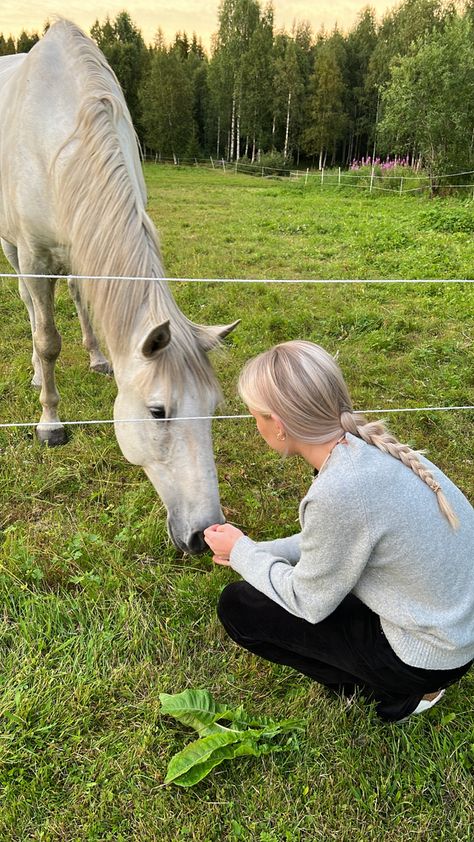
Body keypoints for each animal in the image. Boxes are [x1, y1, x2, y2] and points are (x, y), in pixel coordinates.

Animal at [0, 19, 237, 556]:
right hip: (13, 249)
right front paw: (50, 423)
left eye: (213, 409)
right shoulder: (33, 255)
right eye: (158, 411)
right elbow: (47, 340)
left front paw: (96, 358)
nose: (202, 534)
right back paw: (35, 375)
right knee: (30, 308)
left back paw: (95, 356)